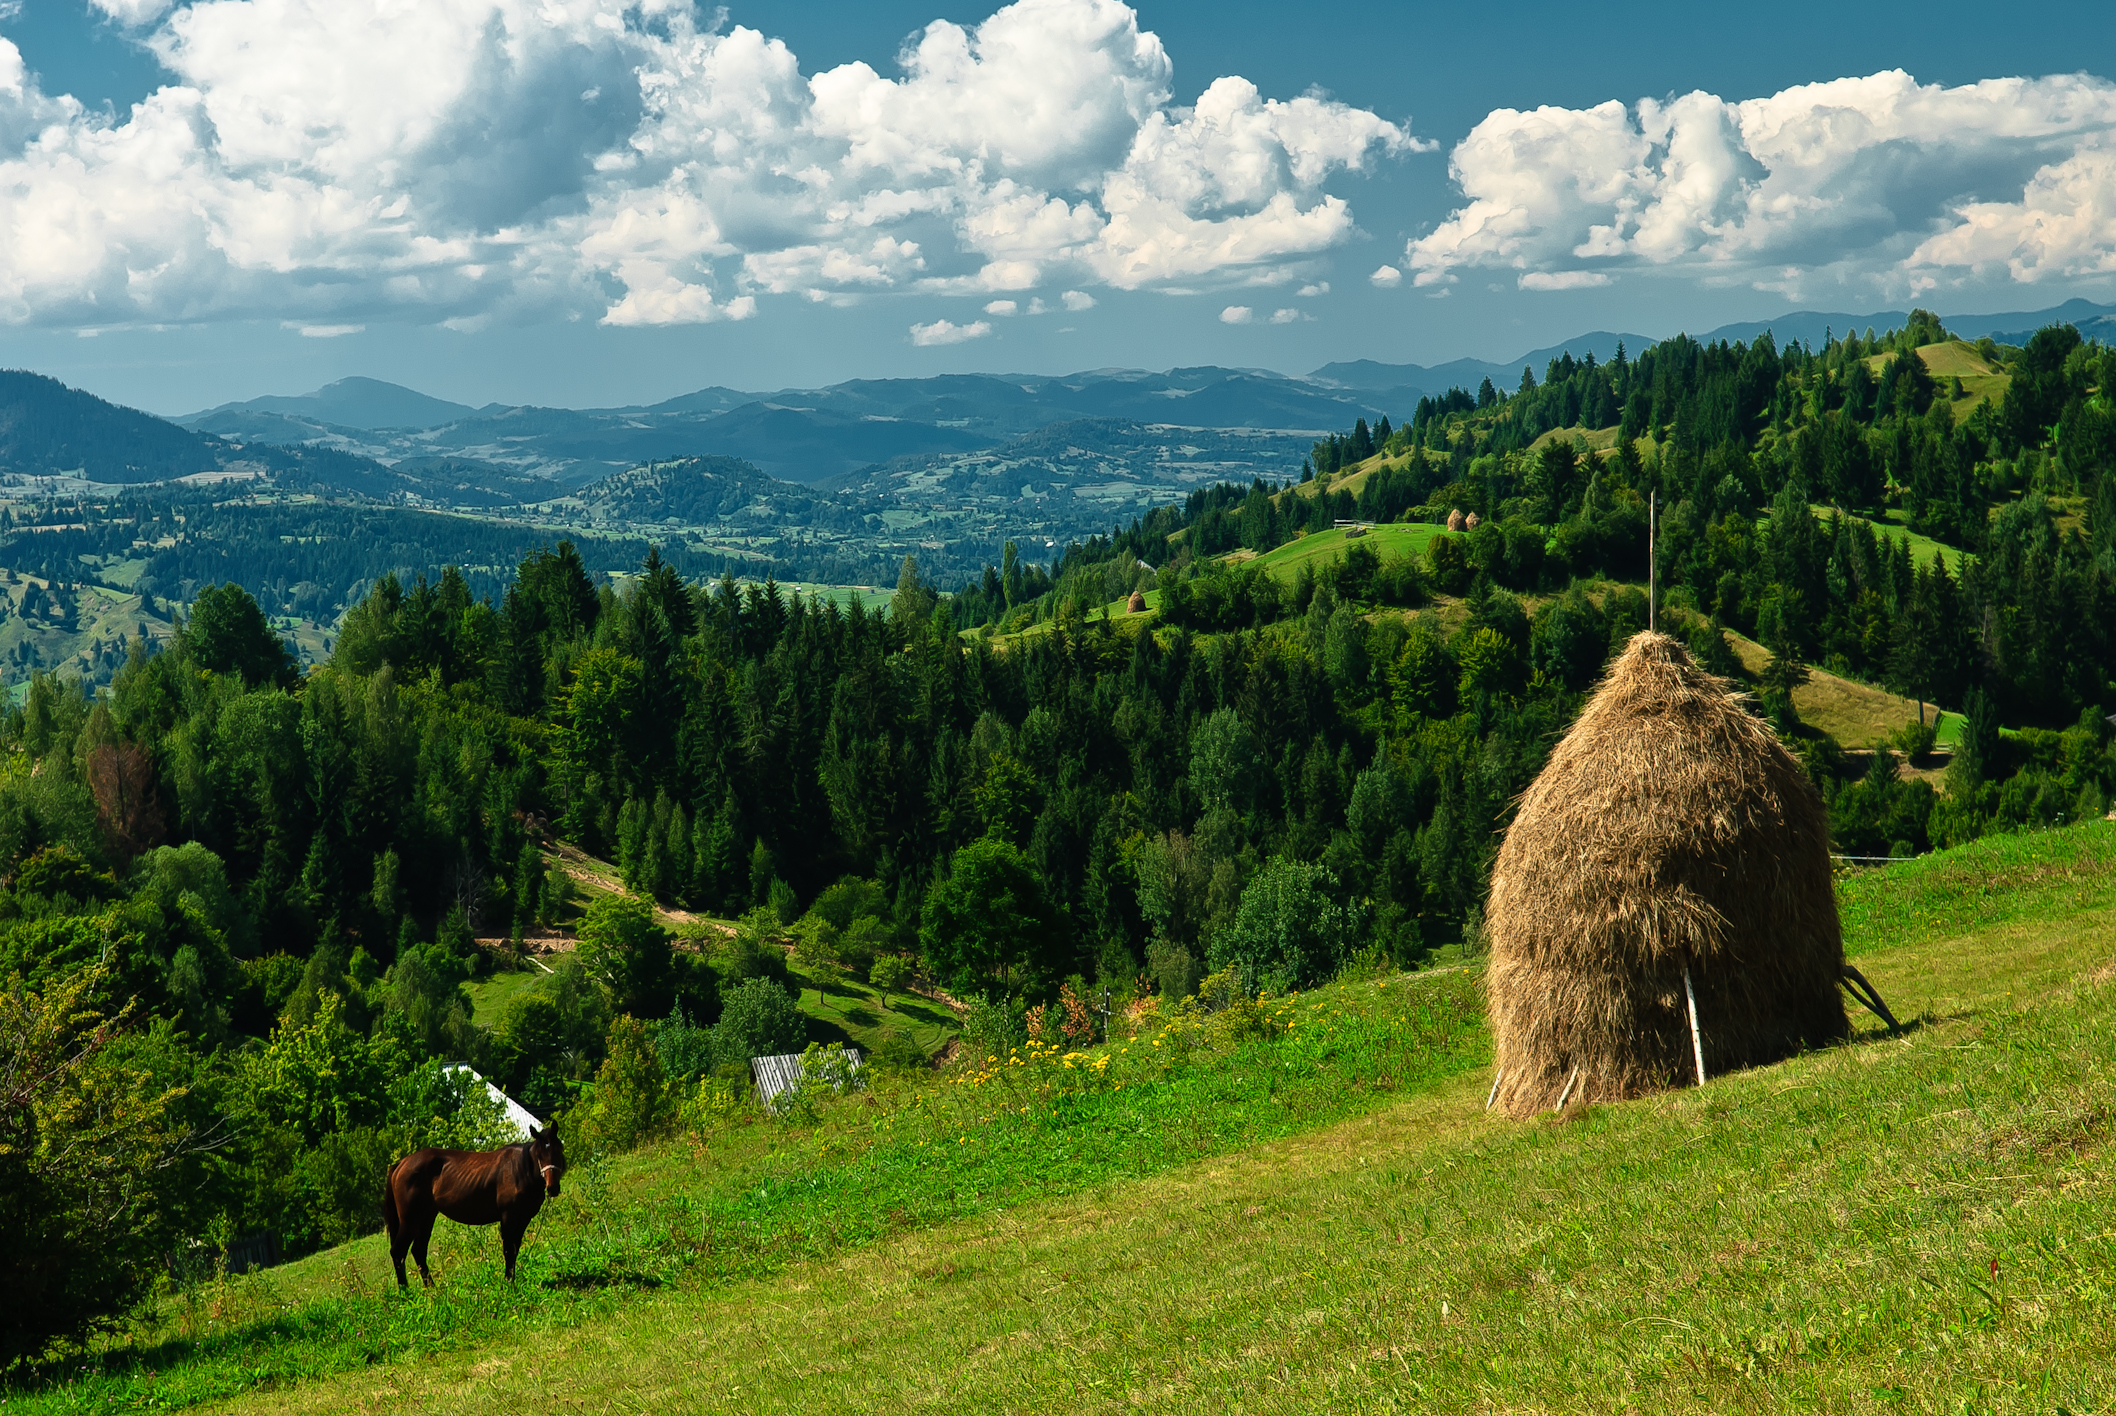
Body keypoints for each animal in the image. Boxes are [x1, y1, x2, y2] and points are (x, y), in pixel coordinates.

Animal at [380, 1117, 562, 1286]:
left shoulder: (523, 1218)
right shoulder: (508, 1217)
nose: (553, 1188)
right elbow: (508, 1250)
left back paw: (432, 1289)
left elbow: (515, 1249)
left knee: (418, 1251)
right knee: (398, 1252)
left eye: (558, 1150)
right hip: (410, 1220)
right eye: (539, 1155)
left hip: (426, 1218)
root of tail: (400, 1164)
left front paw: (511, 1280)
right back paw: (405, 1292)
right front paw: (508, 1283)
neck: (520, 1170)